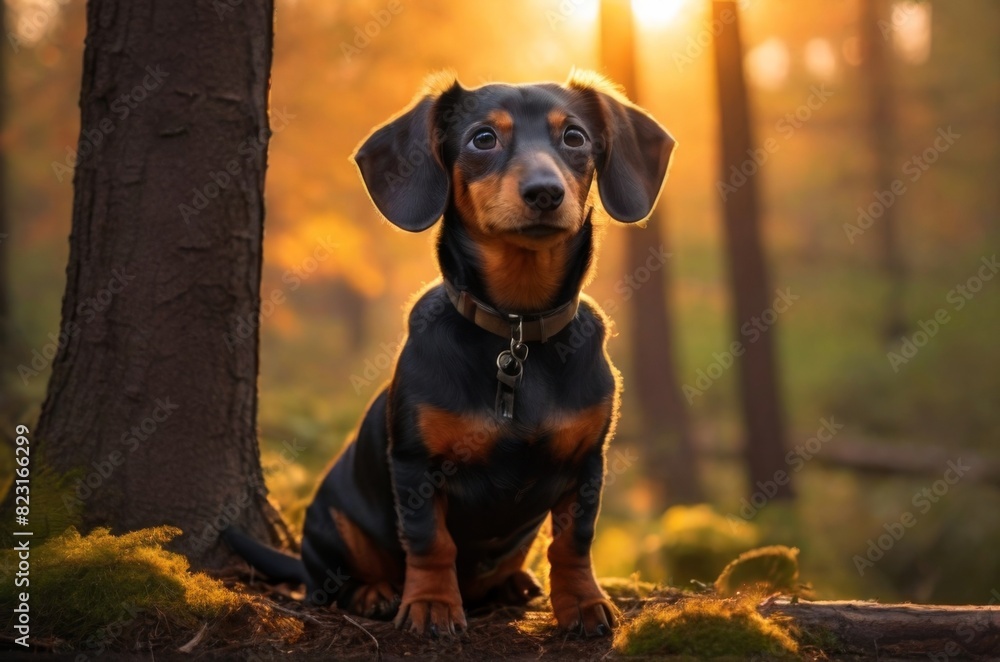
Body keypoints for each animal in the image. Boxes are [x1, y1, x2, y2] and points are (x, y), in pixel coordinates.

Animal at [224, 70, 676, 640]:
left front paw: (583, 603)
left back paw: (515, 583)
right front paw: (433, 606)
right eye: (483, 139)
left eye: (574, 137)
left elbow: (574, 542)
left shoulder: (586, 462)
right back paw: (374, 593)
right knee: (330, 579)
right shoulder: (416, 465)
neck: (516, 329)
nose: (545, 193)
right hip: (332, 522)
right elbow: (429, 541)